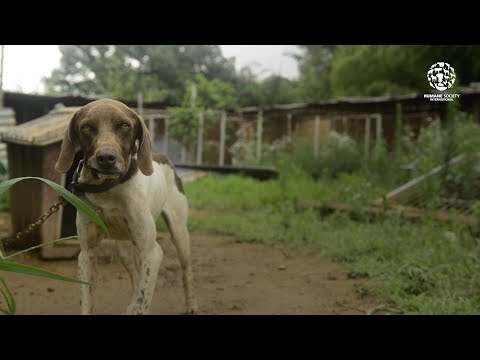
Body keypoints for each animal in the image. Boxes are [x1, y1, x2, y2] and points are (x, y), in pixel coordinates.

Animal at [55, 98, 197, 316]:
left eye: (124, 126)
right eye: (86, 126)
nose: (106, 158)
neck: (107, 189)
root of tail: (163, 156)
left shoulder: (151, 253)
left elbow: (142, 302)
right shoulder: (87, 253)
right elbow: (87, 302)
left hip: (179, 234)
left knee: (186, 272)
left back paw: (191, 305)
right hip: (124, 249)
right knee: (136, 277)